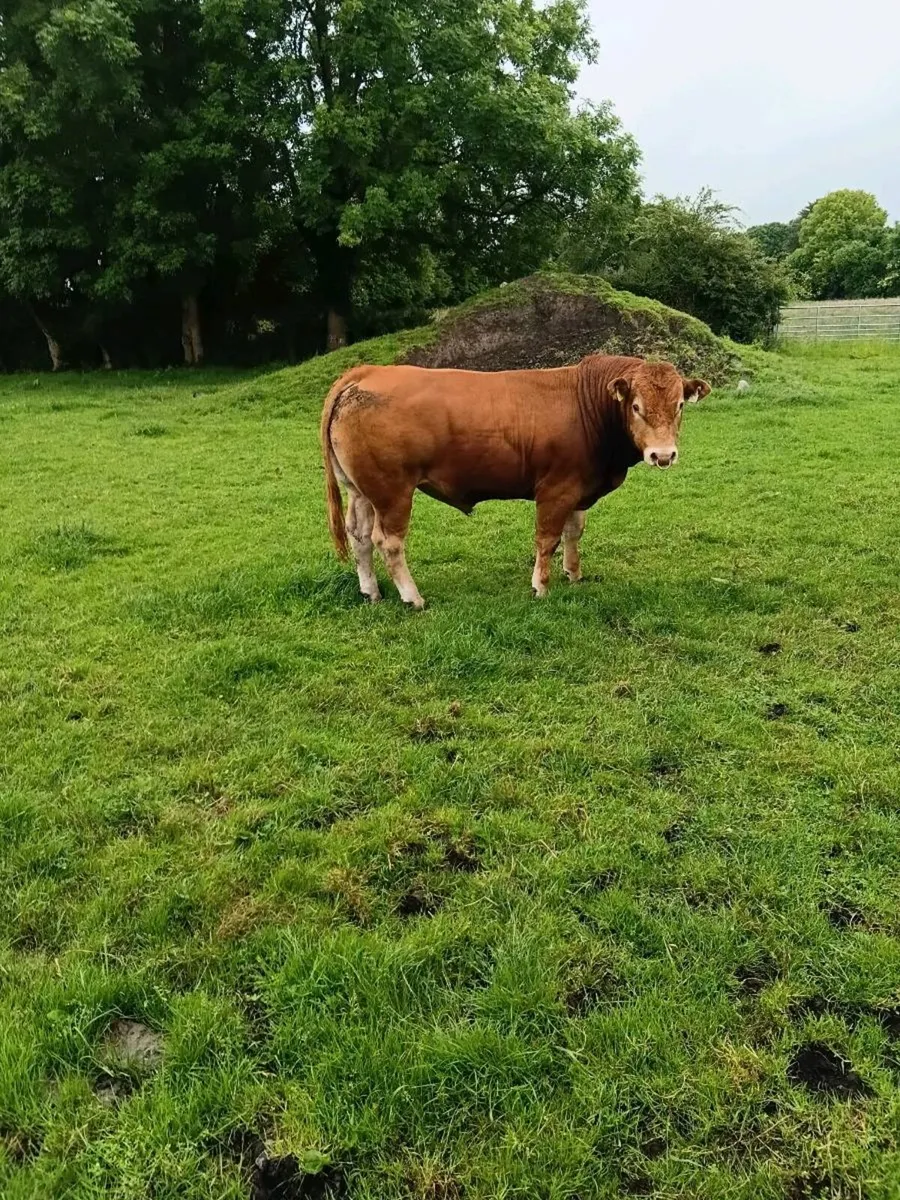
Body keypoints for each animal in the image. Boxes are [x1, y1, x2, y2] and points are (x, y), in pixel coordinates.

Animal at [320, 355, 710, 608]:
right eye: (636, 406)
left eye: (679, 405)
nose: (663, 455)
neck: (586, 403)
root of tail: (367, 372)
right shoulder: (555, 489)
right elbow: (547, 539)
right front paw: (541, 586)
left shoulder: (578, 488)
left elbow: (573, 532)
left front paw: (573, 573)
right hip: (393, 491)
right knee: (388, 542)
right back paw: (412, 598)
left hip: (362, 491)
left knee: (360, 537)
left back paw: (371, 592)